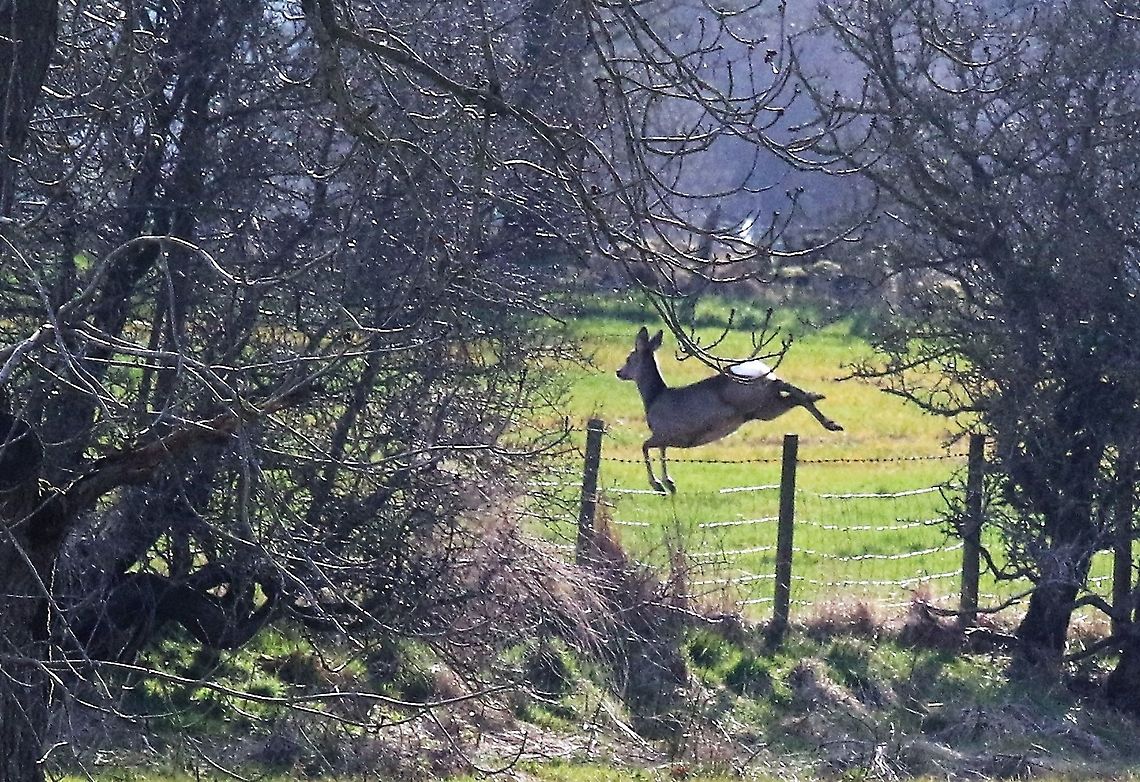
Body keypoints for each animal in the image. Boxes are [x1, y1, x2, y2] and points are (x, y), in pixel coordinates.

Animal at [616, 327, 843, 494]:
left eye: (629, 359)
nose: (619, 372)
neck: (654, 397)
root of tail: (764, 371)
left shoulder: (665, 433)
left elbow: (645, 447)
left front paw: (659, 485)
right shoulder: (666, 436)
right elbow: (662, 454)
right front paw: (669, 484)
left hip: (750, 396)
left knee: (785, 387)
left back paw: (825, 412)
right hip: (766, 408)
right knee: (790, 394)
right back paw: (824, 410)